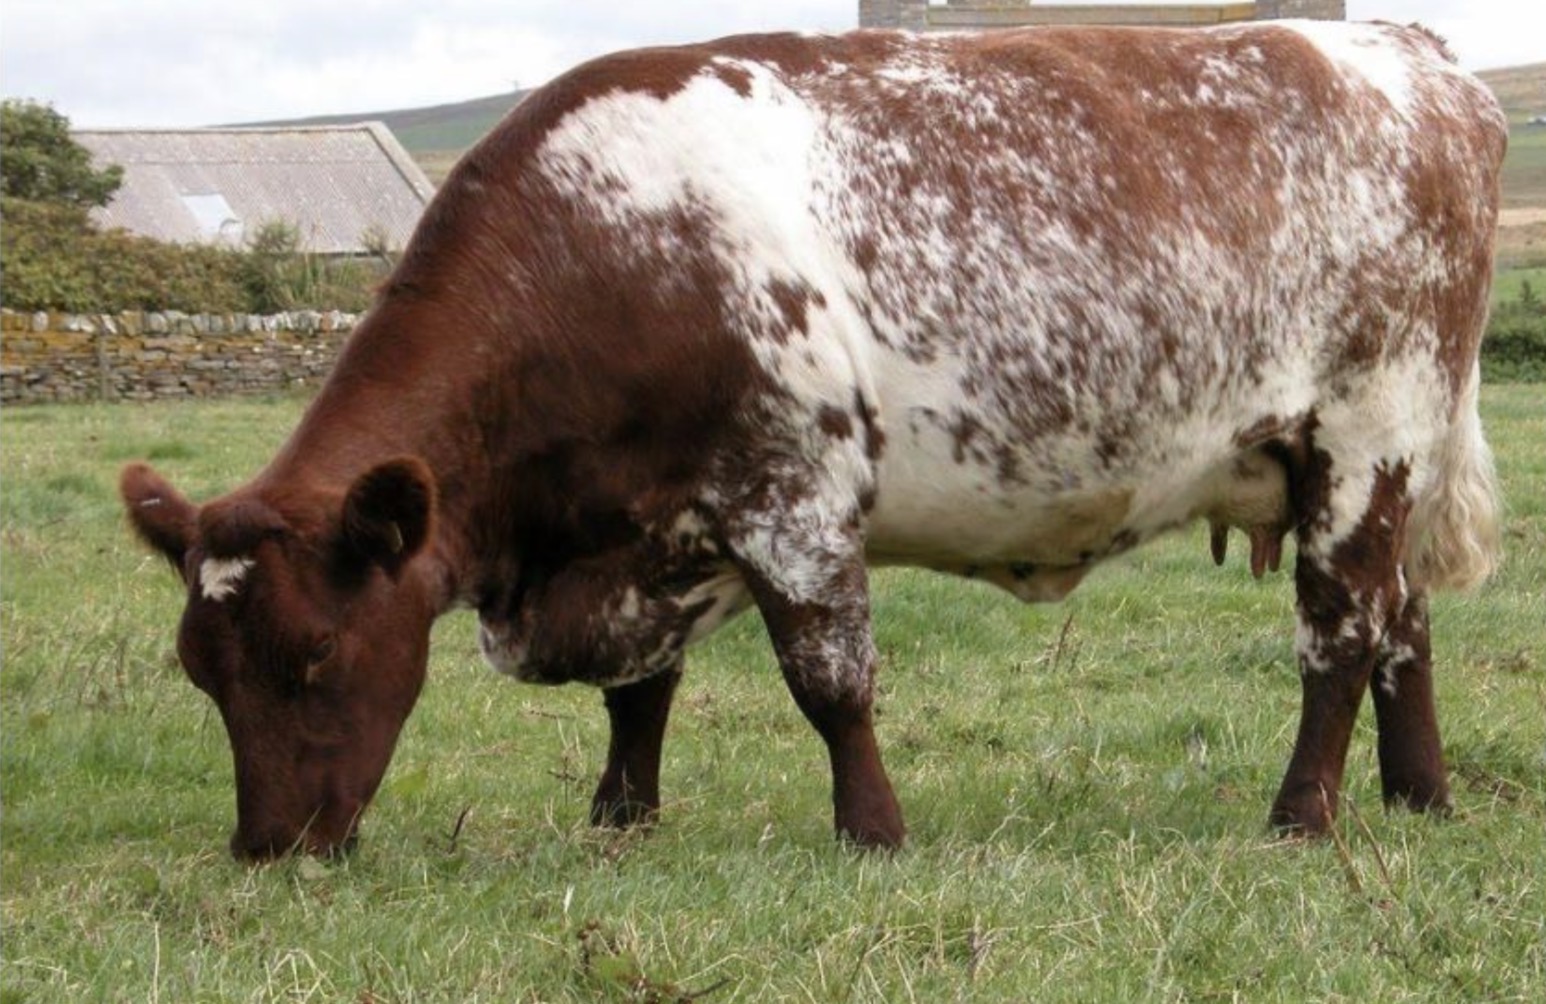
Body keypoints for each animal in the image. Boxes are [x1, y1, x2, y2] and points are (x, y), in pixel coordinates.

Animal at [121, 21, 1504, 860]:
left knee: (1339, 634)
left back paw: (1302, 814)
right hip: (1377, 460)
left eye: (311, 655)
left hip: (1367, 430)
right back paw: (1421, 792)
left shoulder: (791, 494)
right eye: (199, 671)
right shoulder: (651, 530)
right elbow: (640, 691)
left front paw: (872, 830)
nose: (268, 847)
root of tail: (1409, 54)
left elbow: (829, 681)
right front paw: (620, 816)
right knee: (1403, 621)